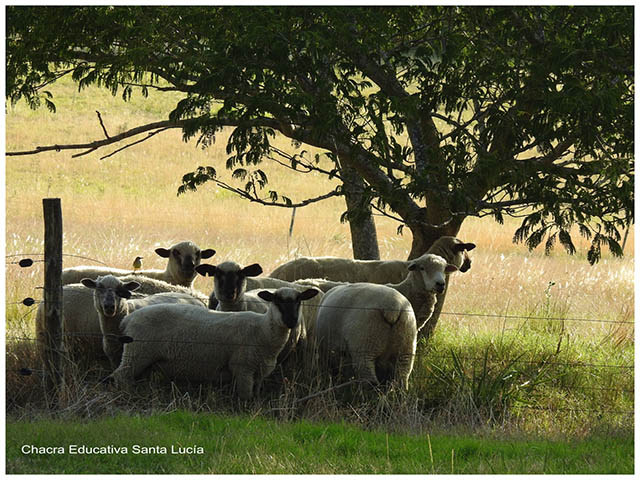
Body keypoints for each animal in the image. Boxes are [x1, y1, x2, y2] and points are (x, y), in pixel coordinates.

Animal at [111, 286, 320, 400]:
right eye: (276, 300)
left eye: (299, 300)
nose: (291, 321)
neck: (263, 331)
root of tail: (128, 319)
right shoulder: (243, 369)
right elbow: (245, 398)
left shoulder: (259, 372)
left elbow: (255, 396)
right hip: (137, 352)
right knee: (120, 375)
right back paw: (128, 395)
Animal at [314, 253, 456, 388]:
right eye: (422, 268)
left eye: (444, 269)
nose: (440, 284)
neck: (407, 291)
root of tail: (392, 308)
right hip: (366, 347)